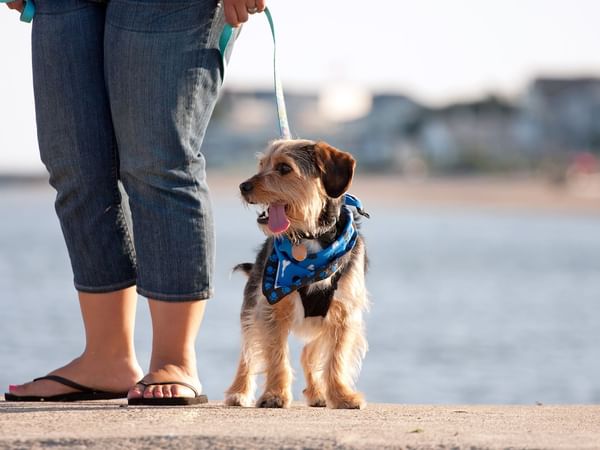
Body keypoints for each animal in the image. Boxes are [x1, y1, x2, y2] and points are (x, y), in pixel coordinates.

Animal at [223, 139, 368, 410]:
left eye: (284, 168)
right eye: (262, 164)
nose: (243, 186)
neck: (308, 238)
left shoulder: (344, 314)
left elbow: (337, 357)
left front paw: (342, 395)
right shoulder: (269, 309)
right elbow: (276, 355)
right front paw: (275, 395)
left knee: (308, 354)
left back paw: (318, 393)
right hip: (251, 308)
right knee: (248, 353)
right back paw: (239, 392)